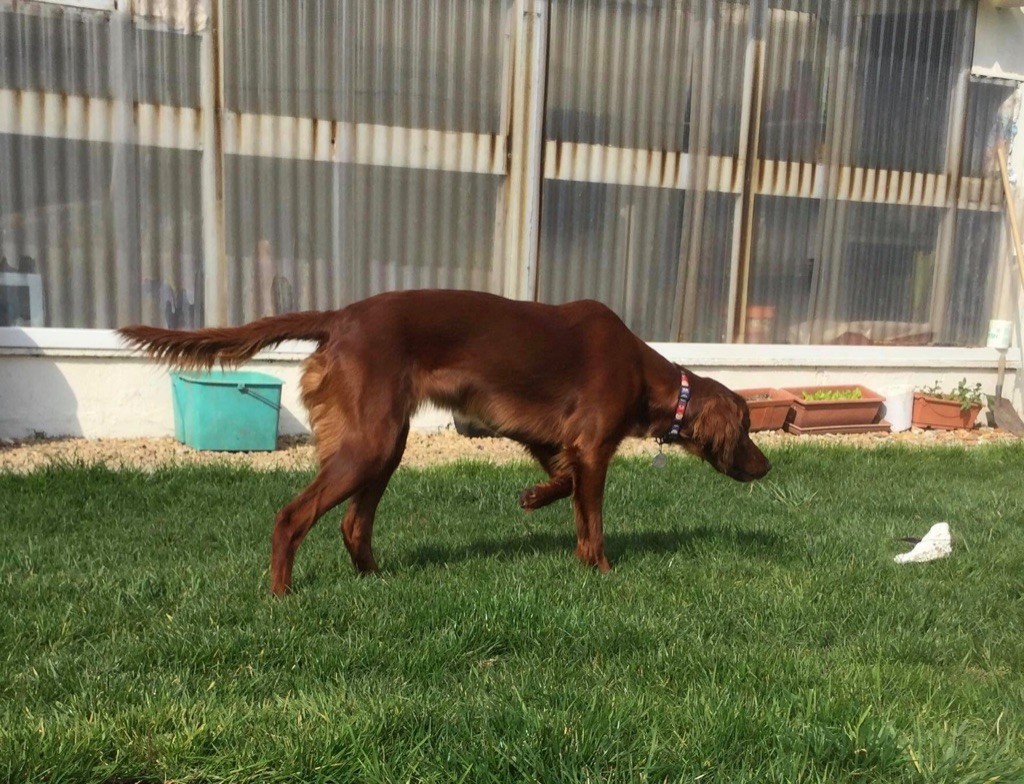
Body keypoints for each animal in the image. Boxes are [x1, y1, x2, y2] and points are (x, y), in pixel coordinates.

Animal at [119, 289, 770, 594]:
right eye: (745, 429)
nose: (766, 468)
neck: (644, 373)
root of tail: (342, 317)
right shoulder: (592, 449)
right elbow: (594, 522)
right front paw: (604, 572)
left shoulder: (547, 437)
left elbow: (561, 483)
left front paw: (533, 500)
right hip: (371, 443)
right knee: (292, 516)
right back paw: (282, 596)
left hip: (385, 443)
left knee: (352, 524)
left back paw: (376, 580)